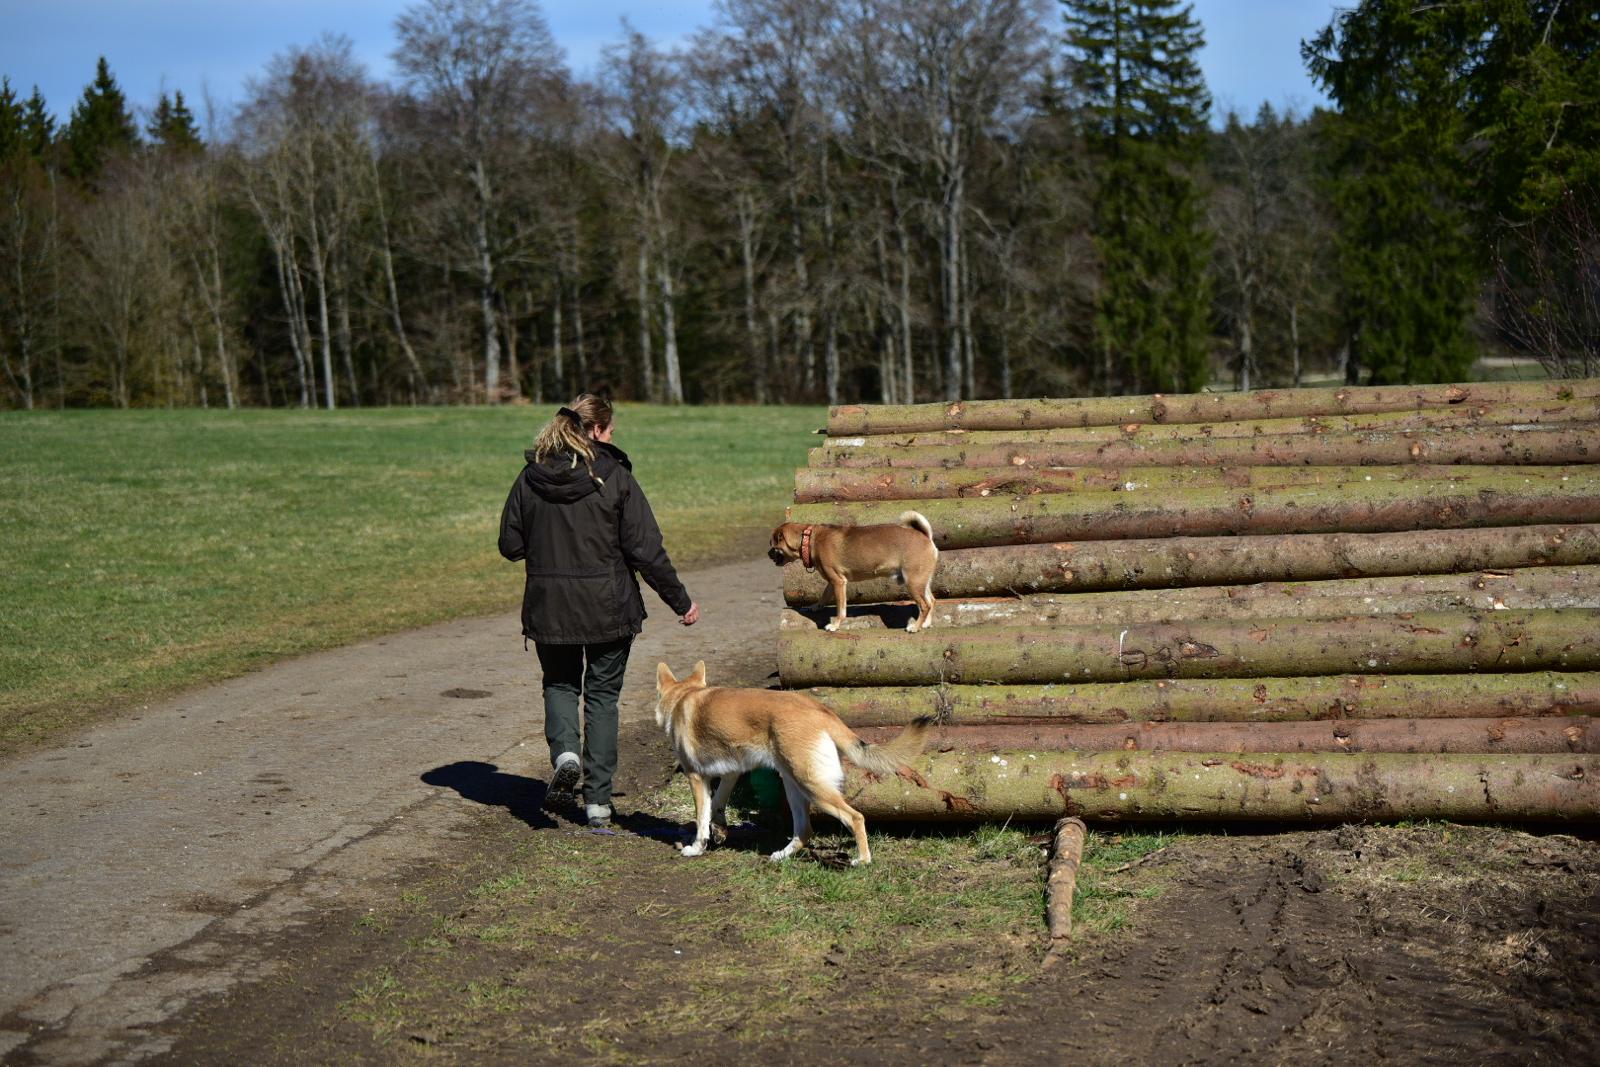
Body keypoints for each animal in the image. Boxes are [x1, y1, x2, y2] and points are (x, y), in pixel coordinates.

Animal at [652, 662, 934, 863]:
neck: (683, 697)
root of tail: (821, 711)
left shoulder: (696, 777)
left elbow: (701, 819)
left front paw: (696, 848)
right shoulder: (731, 773)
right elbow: (717, 806)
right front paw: (720, 830)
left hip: (811, 786)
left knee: (855, 818)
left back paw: (862, 860)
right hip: (794, 787)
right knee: (805, 831)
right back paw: (781, 856)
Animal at [771, 511, 934, 633]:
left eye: (773, 546)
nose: (768, 553)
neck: (808, 539)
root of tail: (925, 536)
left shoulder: (838, 582)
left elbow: (841, 609)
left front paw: (835, 625)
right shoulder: (833, 582)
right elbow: (824, 595)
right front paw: (816, 606)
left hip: (913, 583)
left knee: (924, 605)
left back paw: (915, 627)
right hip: (921, 582)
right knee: (931, 601)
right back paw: (925, 624)